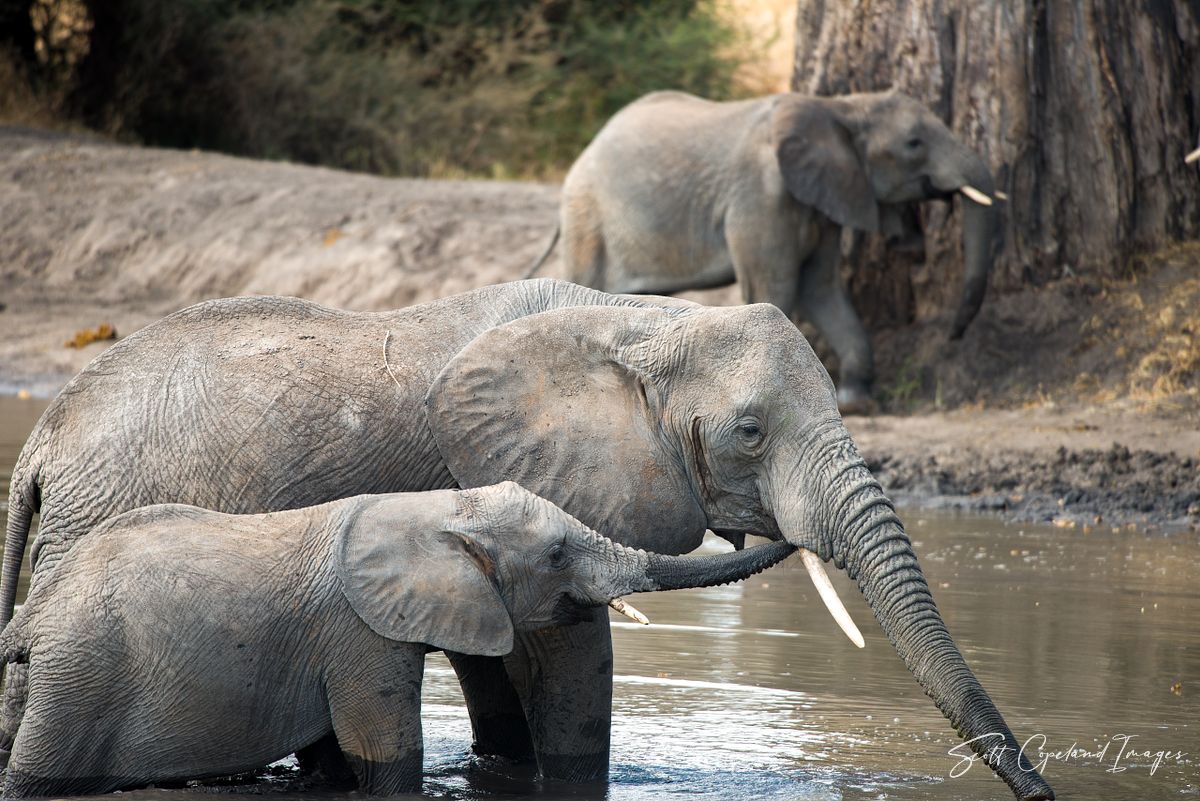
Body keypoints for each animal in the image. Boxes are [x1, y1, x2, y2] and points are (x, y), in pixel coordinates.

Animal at [0, 482, 793, 797]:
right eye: (557, 554)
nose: (774, 527)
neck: (435, 510)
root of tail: (33, 617)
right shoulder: (360, 633)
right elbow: (383, 752)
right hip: (82, 675)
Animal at [528, 89, 1001, 410]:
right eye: (914, 144)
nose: (953, 336)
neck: (838, 108)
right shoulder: (760, 196)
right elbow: (776, 288)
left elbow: (821, 288)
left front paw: (855, 401)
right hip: (589, 218)